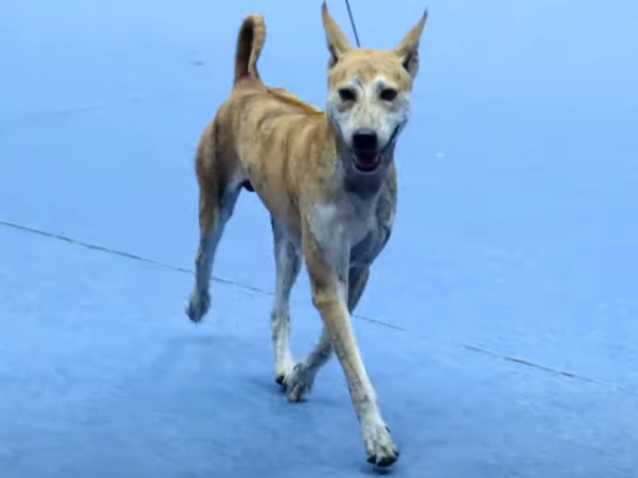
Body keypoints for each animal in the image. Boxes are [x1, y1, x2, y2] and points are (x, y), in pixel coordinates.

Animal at [186, 3, 426, 468]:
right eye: (346, 93)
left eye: (388, 94)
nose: (365, 138)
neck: (355, 183)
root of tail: (249, 84)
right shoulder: (329, 276)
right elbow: (351, 359)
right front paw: (376, 437)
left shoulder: (358, 270)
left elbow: (332, 343)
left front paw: (300, 377)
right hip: (217, 194)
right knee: (204, 253)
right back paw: (198, 303)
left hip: (290, 238)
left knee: (279, 306)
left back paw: (284, 365)